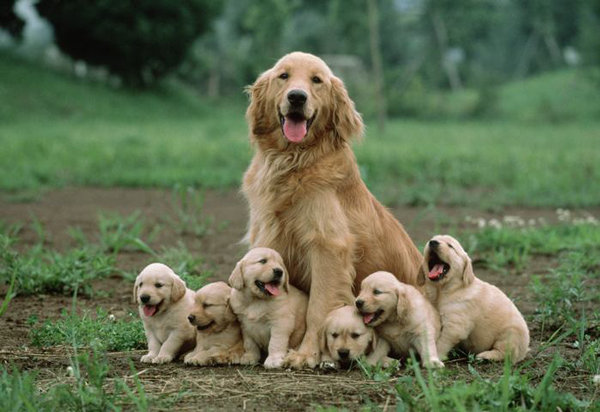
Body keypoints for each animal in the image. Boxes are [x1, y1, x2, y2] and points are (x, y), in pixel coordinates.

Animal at [418, 235, 528, 364]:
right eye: (430, 240)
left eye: (450, 246)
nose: (433, 242)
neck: (442, 291)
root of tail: (525, 351)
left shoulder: (454, 325)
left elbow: (441, 343)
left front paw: (435, 358)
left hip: (510, 334)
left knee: (504, 353)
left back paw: (485, 355)